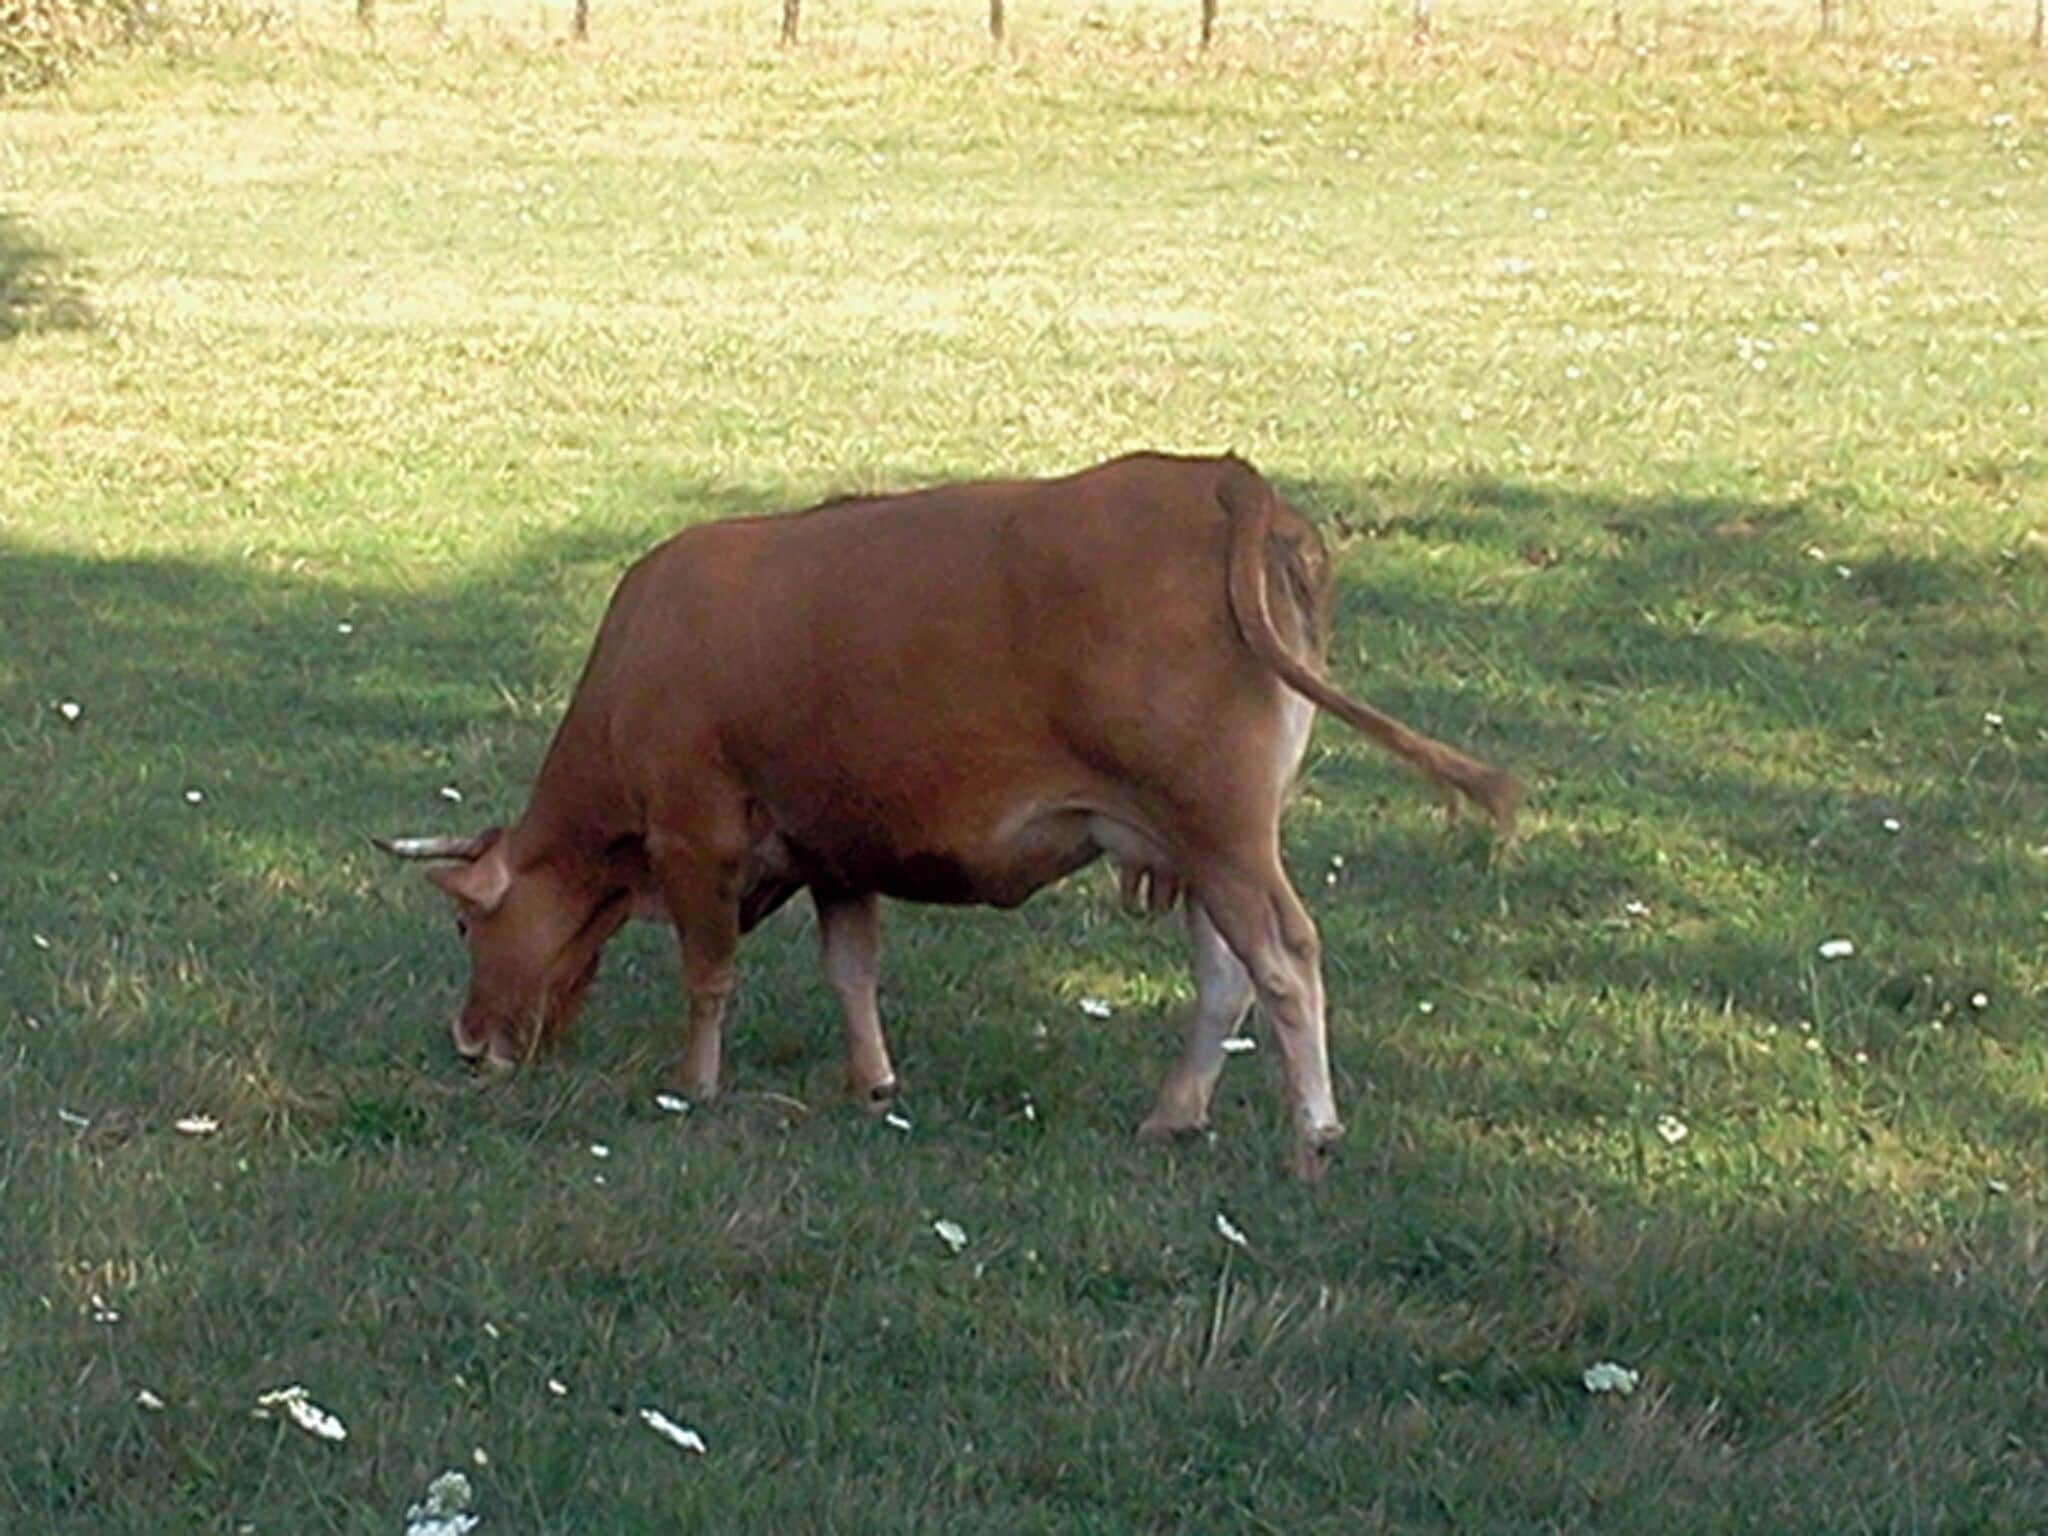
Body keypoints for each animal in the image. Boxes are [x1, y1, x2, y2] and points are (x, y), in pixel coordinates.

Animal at [377, 452, 1518, 1179]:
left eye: (464, 921)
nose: (468, 1044)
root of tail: (1218, 479)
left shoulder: (697, 833)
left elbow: (708, 975)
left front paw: (693, 1086)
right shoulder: (834, 850)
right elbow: (851, 972)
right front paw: (871, 1084)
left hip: (1223, 833)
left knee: (1284, 960)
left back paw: (1311, 1133)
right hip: (1194, 846)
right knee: (1224, 977)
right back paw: (1172, 1115)